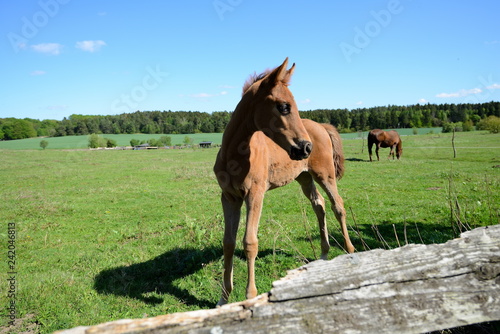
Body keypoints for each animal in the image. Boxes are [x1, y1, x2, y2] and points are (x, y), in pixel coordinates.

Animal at [213, 58, 354, 306]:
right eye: (284, 106)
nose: (306, 147)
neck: (235, 156)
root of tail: (321, 126)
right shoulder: (229, 197)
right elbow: (228, 243)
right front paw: (223, 298)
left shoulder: (255, 195)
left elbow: (250, 243)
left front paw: (250, 296)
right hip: (304, 177)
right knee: (319, 205)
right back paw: (323, 254)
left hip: (324, 174)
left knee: (338, 205)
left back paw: (350, 251)